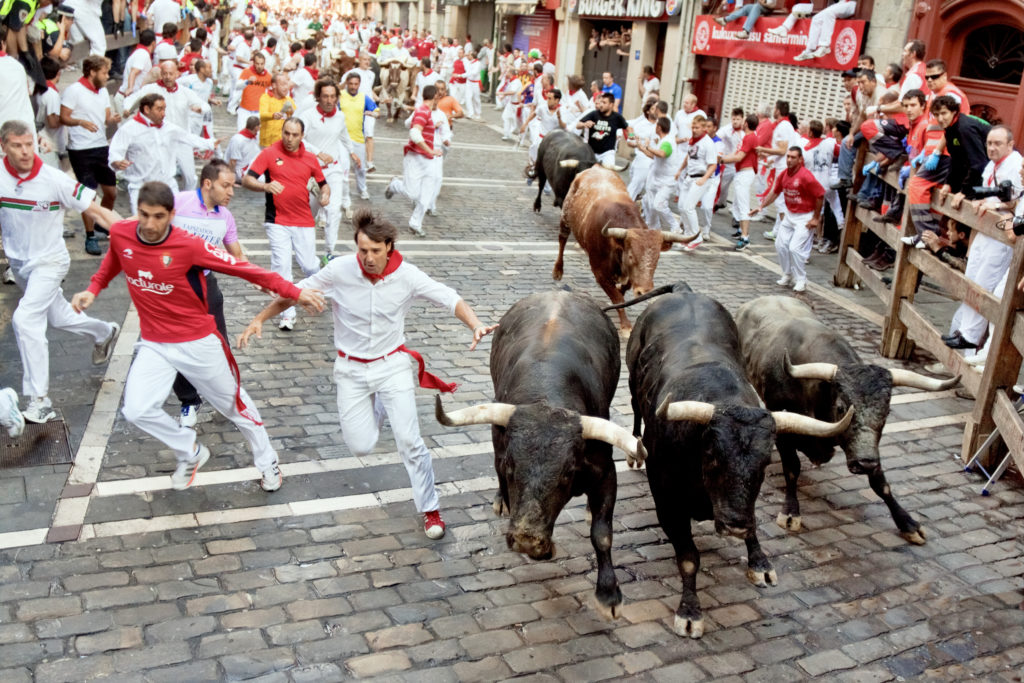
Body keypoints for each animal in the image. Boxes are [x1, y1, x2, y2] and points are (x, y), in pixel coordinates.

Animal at [434, 290, 643, 622]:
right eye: (510, 466)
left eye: (568, 472)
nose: (527, 539)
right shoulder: (500, 454)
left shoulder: (605, 472)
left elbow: (602, 533)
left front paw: (609, 594)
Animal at [552, 165, 696, 331]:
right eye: (631, 255)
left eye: (657, 257)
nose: (644, 291)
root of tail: (596, 167)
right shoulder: (599, 272)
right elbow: (618, 298)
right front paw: (626, 326)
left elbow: (624, 289)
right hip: (565, 218)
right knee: (562, 240)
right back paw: (558, 270)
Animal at [622, 286, 856, 638]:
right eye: (711, 455)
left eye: (765, 461)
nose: (734, 523)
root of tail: (683, 291)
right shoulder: (667, 503)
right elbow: (689, 557)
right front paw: (690, 612)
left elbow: (754, 525)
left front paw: (760, 563)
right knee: (635, 407)